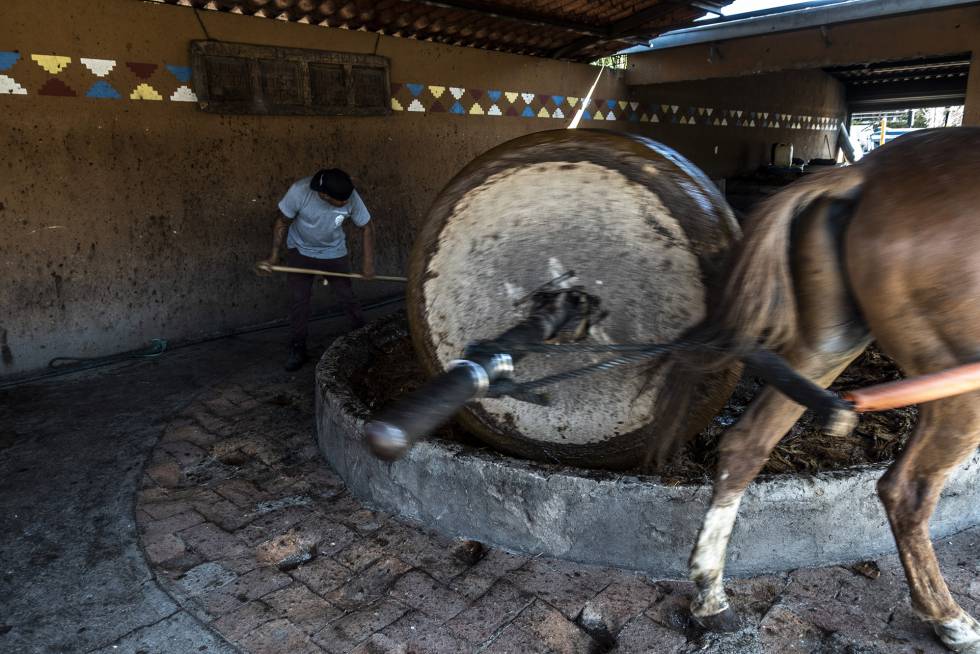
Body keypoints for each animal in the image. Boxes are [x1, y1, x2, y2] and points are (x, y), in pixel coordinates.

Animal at [656, 128, 980, 654]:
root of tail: (863, 175)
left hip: (828, 344)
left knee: (746, 443)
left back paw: (711, 597)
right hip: (958, 379)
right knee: (907, 491)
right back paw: (949, 619)